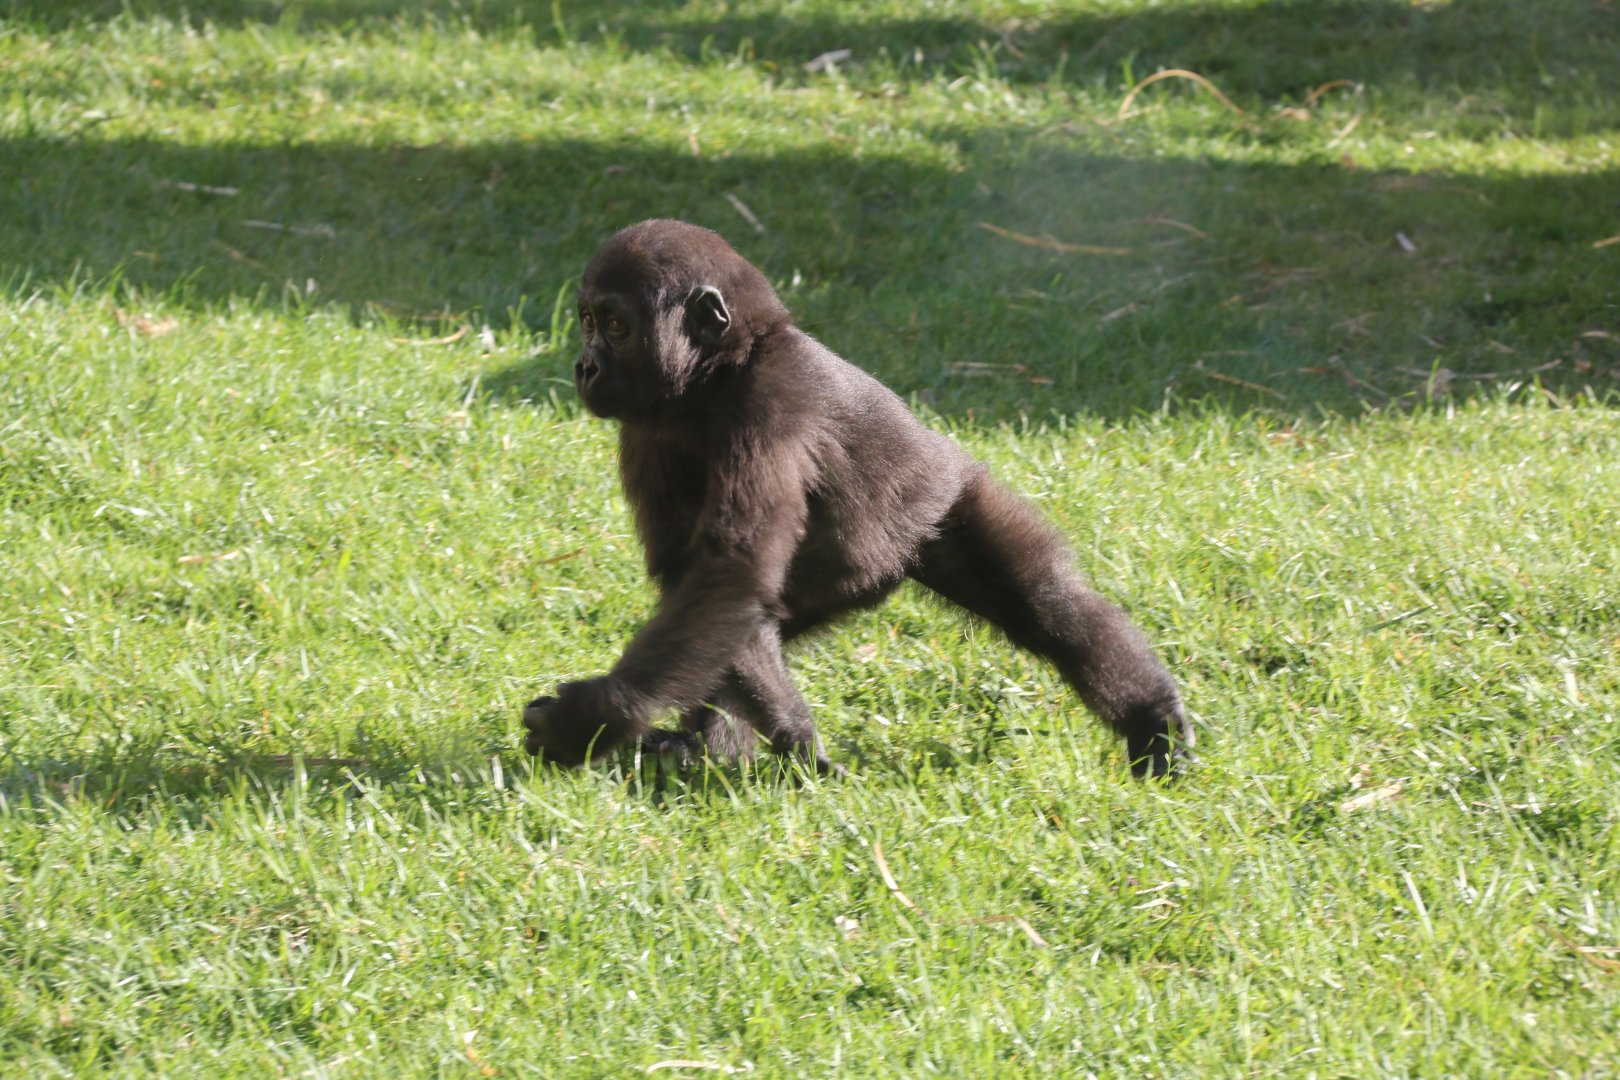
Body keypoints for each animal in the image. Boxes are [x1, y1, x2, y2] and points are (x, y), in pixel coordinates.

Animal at [522, 219, 1195, 777]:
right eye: (586, 320)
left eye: (615, 326)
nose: (584, 367)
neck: (721, 372)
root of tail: (896, 564)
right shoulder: (645, 429)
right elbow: (707, 583)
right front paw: (785, 742)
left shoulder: (772, 401)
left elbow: (732, 569)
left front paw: (590, 720)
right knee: (745, 631)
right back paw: (707, 747)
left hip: (950, 501)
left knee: (1044, 602)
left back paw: (1153, 720)